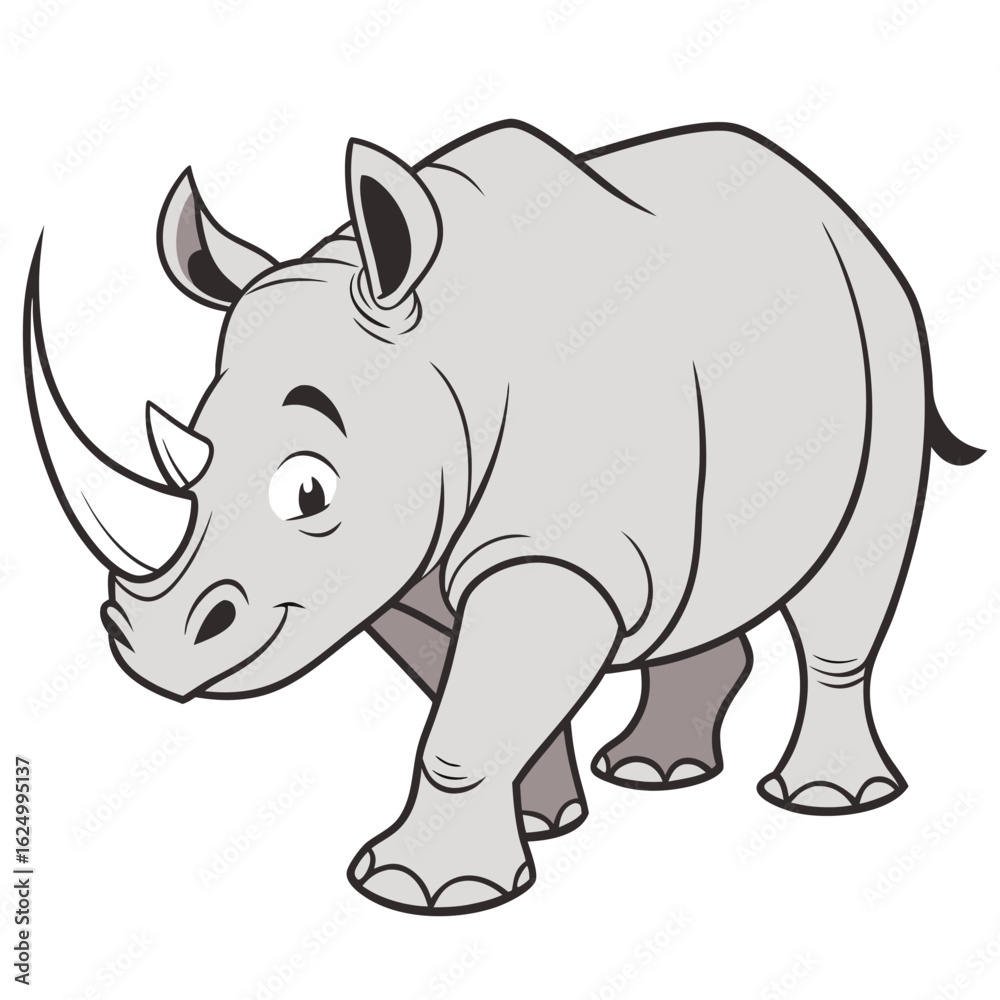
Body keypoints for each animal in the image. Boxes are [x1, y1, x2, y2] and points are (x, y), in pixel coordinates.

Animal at [24, 120, 983, 915]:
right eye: (190, 450)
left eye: (309, 492)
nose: (156, 654)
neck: (442, 357)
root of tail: (838, 211)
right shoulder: (404, 571)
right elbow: (481, 694)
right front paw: (545, 822)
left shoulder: (555, 553)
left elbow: (466, 722)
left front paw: (419, 893)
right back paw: (656, 772)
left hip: (889, 337)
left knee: (852, 575)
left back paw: (826, 801)